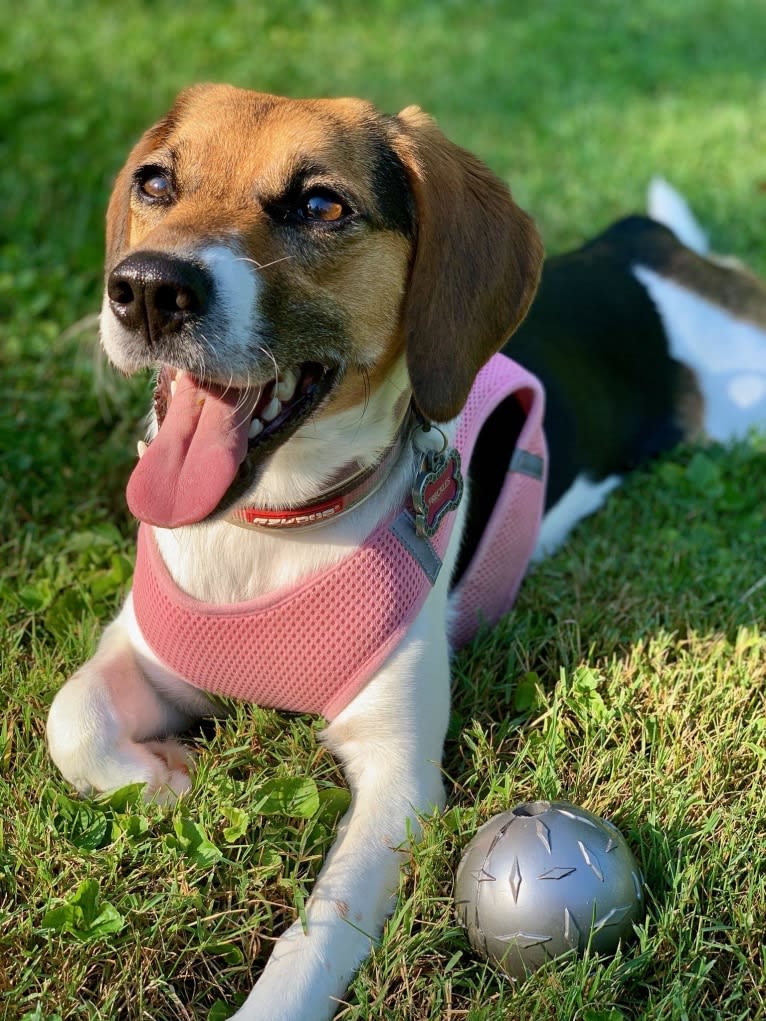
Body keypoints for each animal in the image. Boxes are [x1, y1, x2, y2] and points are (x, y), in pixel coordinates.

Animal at [44, 87, 766, 1021]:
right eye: (156, 181)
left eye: (322, 205)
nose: (147, 290)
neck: (271, 530)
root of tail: (646, 244)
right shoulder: (146, 646)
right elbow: (72, 718)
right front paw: (164, 778)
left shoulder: (397, 782)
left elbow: (313, 943)